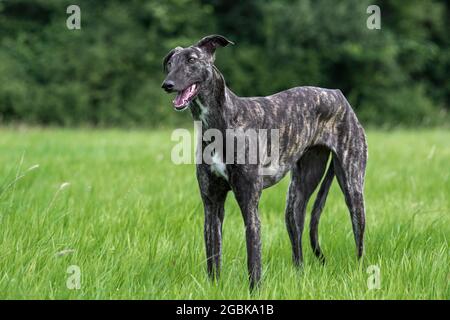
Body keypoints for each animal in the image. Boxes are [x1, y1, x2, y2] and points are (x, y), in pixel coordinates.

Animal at [162, 35, 370, 290]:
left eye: (192, 60)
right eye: (170, 63)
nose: (167, 84)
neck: (222, 121)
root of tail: (338, 95)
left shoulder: (249, 204)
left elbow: (253, 258)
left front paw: (255, 290)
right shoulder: (211, 205)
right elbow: (213, 257)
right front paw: (213, 289)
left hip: (353, 189)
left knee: (359, 240)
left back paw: (360, 274)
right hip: (295, 199)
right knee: (297, 242)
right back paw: (299, 277)